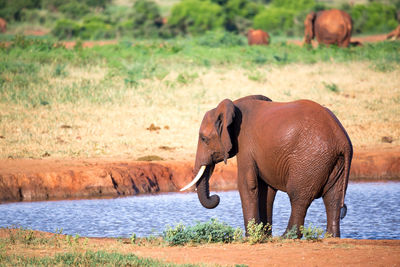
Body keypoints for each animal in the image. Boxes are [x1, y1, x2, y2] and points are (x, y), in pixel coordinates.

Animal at [181, 96, 354, 239]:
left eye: (204, 139)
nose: (216, 197)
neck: (232, 106)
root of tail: (342, 140)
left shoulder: (245, 142)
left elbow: (247, 184)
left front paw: (250, 237)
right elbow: (266, 190)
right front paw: (263, 235)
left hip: (310, 159)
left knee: (299, 196)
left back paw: (287, 236)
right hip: (334, 161)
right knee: (333, 198)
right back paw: (331, 237)